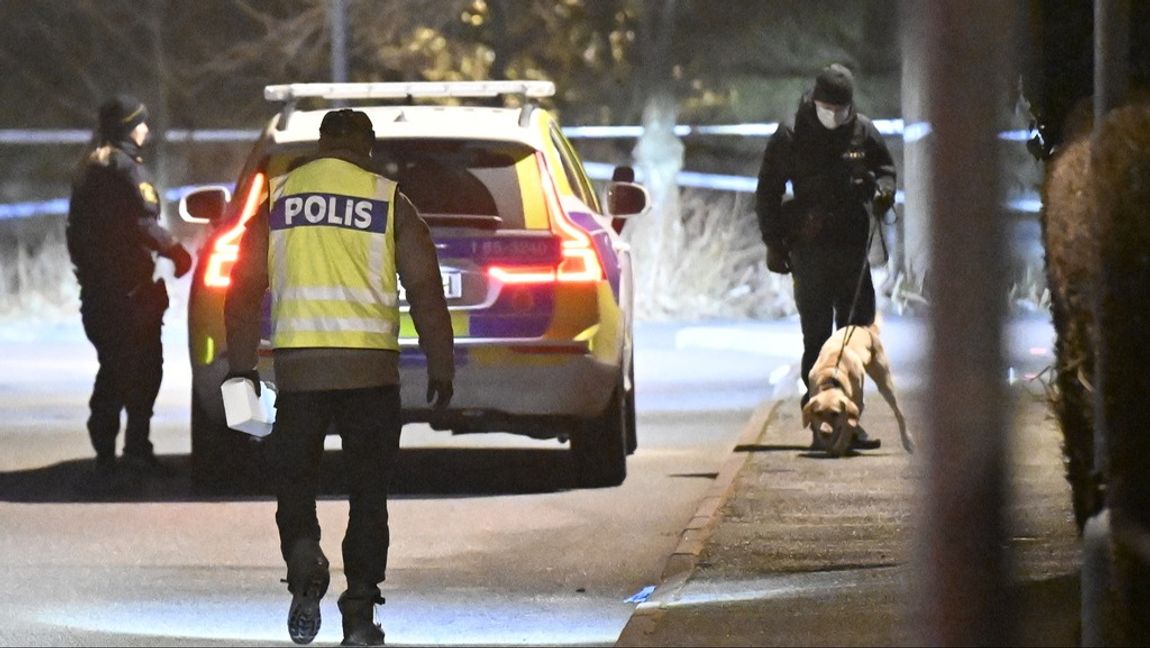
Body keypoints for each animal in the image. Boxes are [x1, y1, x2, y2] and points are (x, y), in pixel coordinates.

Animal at [805, 322, 910, 455]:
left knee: (898, 412)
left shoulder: (855, 406)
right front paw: (827, 444)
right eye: (818, 413)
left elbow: (847, 426)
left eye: (835, 413)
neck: (832, 377)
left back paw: (907, 441)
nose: (825, 432)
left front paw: (839, 447)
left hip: (884, 382)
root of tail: (863, 328)